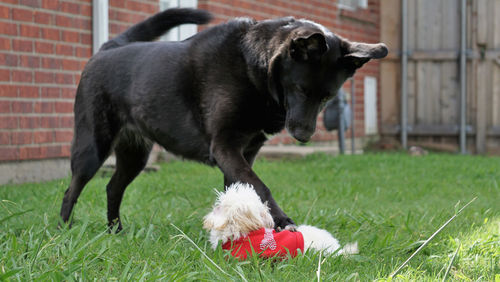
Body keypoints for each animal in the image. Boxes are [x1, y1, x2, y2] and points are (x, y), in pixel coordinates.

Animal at [58, 8, 386, 231]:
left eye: (327, 97)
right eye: (301, 89)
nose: (303, 136)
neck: (254, 69)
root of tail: (108, 47)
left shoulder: (243, 154)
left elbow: (240, 192)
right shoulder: (225, 147)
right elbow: (260, 187)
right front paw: (281, 220)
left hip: (135, 155)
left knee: (113, 188)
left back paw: (116, 231)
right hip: (92, 147)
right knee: (71, 189)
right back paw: (64, 230)